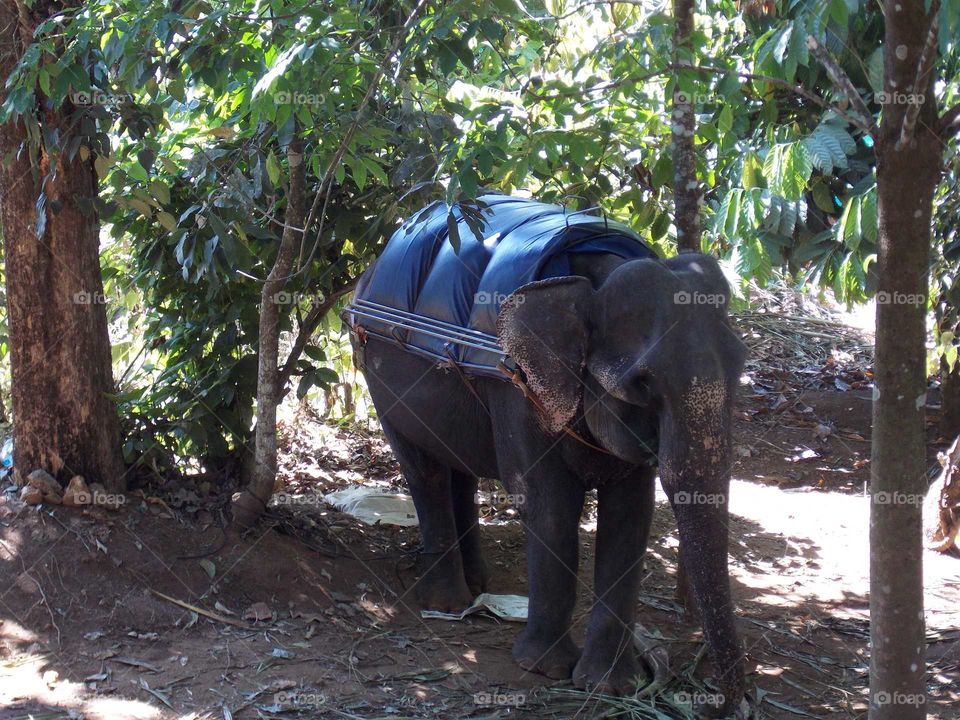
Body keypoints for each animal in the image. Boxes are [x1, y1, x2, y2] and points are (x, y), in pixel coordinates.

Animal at [353, 250, 746, 717]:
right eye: (642, 384)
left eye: (740, 367)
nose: (713, 703)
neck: (595, 282)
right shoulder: (518, 387)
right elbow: (550, 507)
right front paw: (546, 669)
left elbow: (630, 518)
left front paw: (612, 686)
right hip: (377, 373)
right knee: (423, 469)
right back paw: (447, 603)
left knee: (458, 470)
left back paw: (478, 584)